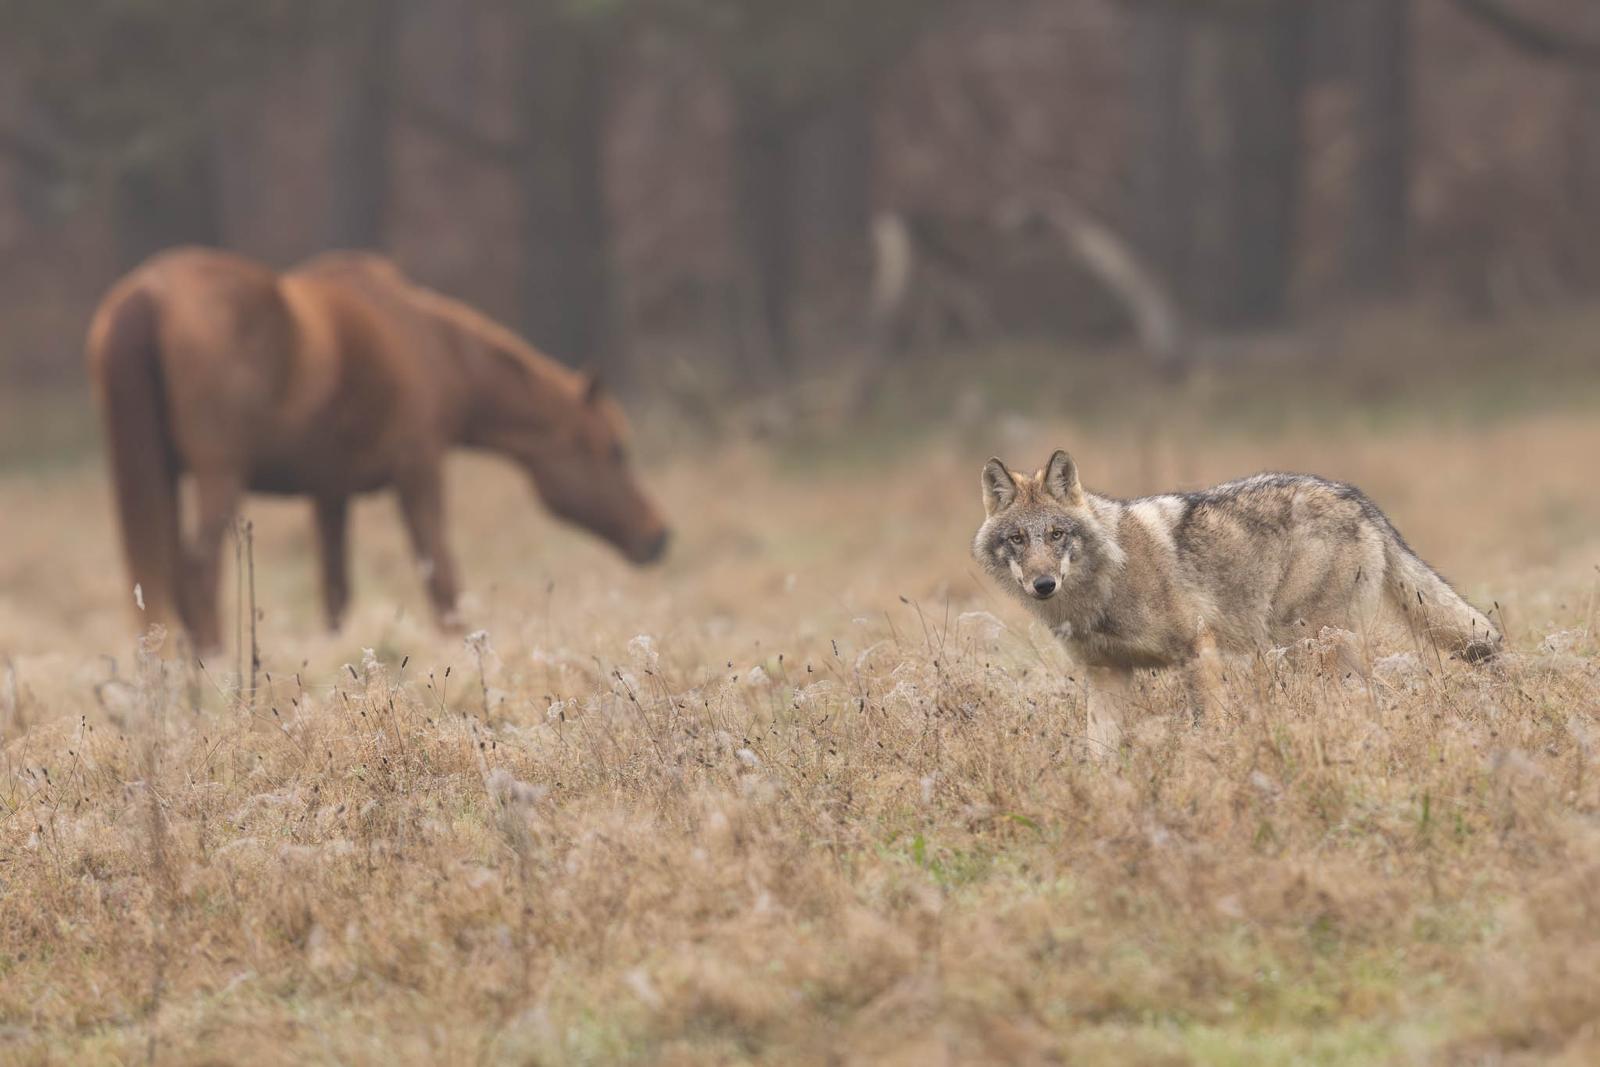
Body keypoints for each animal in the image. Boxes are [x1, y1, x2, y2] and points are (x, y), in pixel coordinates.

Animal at [87, 247, 670, 651]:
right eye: (616, 449)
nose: (658, 536)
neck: (436, 349)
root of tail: (147, 295)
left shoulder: (329, 494)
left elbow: (336, 594)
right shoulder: (419, 470)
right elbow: (443, 580)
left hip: (163, 476)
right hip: (219, 475)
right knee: (198, 571)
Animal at [972, 450, 1501, 751]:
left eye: (1056, 534)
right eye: (1017, 539)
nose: (1043, 584)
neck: (1106, 582)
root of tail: (1357, 498)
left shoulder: (1198, 651)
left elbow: (1210, 726)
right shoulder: (1106, 674)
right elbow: (1097, 754)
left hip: (1311, 647)